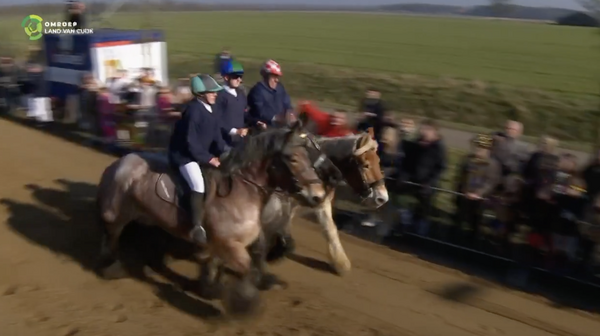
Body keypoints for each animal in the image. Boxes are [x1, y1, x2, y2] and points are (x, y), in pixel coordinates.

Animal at [96, 122, 328, 316]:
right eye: (294, 159)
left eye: (309, 156)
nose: (319, 196)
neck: (244, 191)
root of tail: (121, 161)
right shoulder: (231, 244)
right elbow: (246, 269)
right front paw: (244, 305)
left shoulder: (222, 242)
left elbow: (216, 263)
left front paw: (210, 288)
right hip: (116, 214)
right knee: (112, 236)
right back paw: (112, 266)